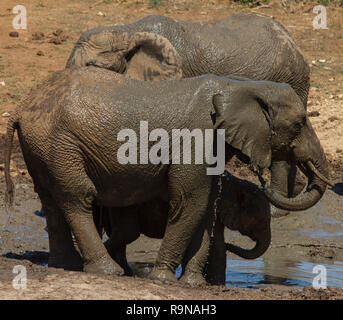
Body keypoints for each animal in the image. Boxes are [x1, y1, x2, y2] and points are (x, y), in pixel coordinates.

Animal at [99, 172, 272, 284]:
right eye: (261, 220)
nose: (231, 245)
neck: (237, 184)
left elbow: (216, 245)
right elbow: (216, 247)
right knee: (126, 234)